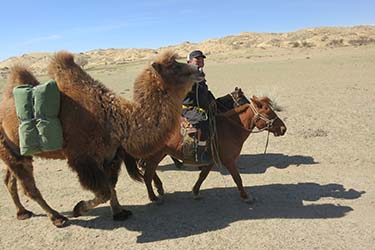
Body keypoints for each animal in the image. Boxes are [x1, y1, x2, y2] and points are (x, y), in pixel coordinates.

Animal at [141, 89, 288, 203]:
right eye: (269, 113)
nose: (283, 129)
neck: (230, 129)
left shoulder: (211, 160)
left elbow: (202, 176)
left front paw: (195, 192)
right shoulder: (229, 161)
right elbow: (237, 178)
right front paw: (246, 196)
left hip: (159, 154)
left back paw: (159, 187)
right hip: (155, 154)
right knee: (147, 174)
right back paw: (154, 197)